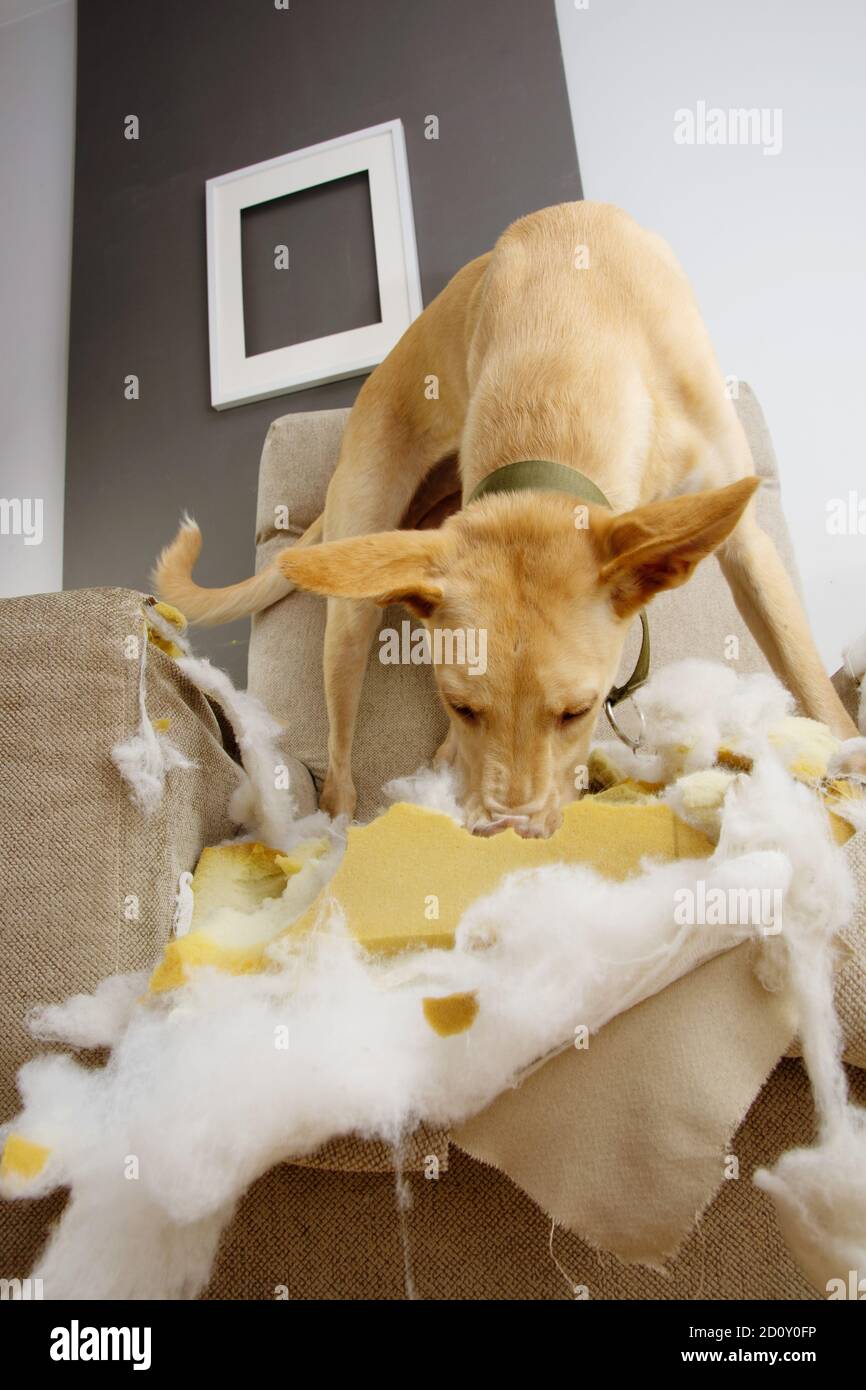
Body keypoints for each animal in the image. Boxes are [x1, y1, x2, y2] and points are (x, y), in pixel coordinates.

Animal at [155, 202, 861, 834]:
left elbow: (811, 681)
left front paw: (846, 758)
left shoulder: (746, 540)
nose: (507, 830)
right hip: (355, 594)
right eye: (461, 705)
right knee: (339, 760)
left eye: (578, 712)